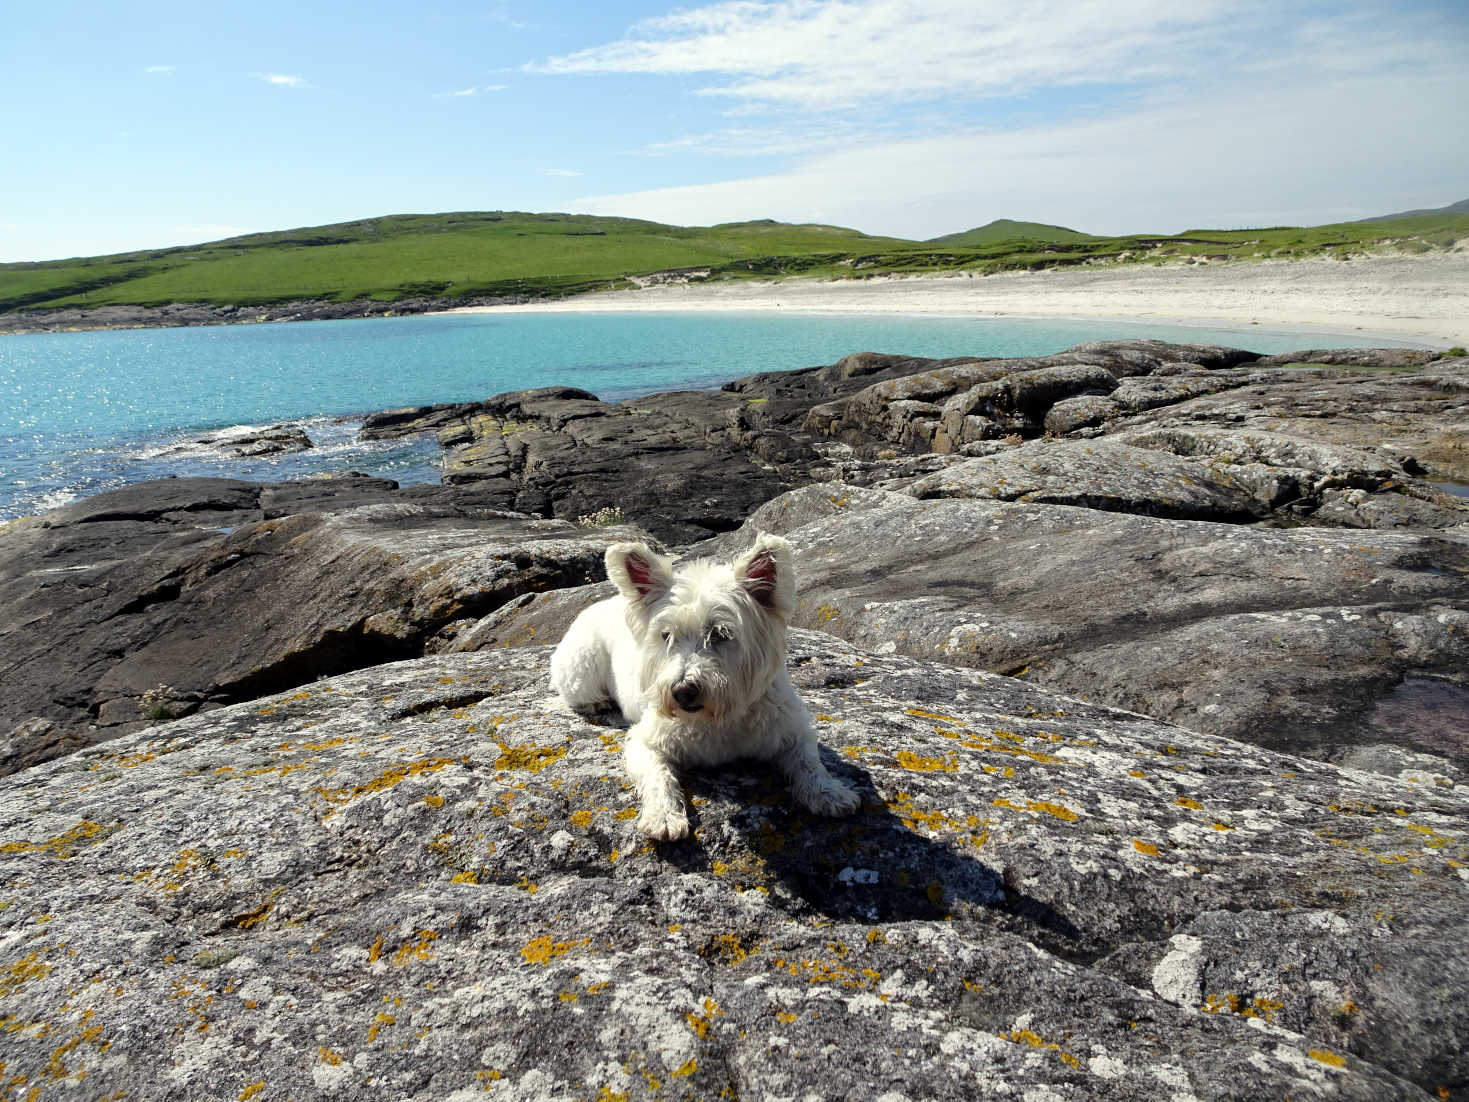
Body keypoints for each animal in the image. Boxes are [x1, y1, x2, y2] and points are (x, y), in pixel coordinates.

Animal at [555, 537, 863, 846]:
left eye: (720, 634)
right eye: (666, 635)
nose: (682, 691)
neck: (718, 718)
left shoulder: (791, 728)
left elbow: (809, 762)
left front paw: (830, 792)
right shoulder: (645, 740)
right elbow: (658, 775)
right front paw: (664, 816)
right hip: (581, 670)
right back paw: (597, 702)